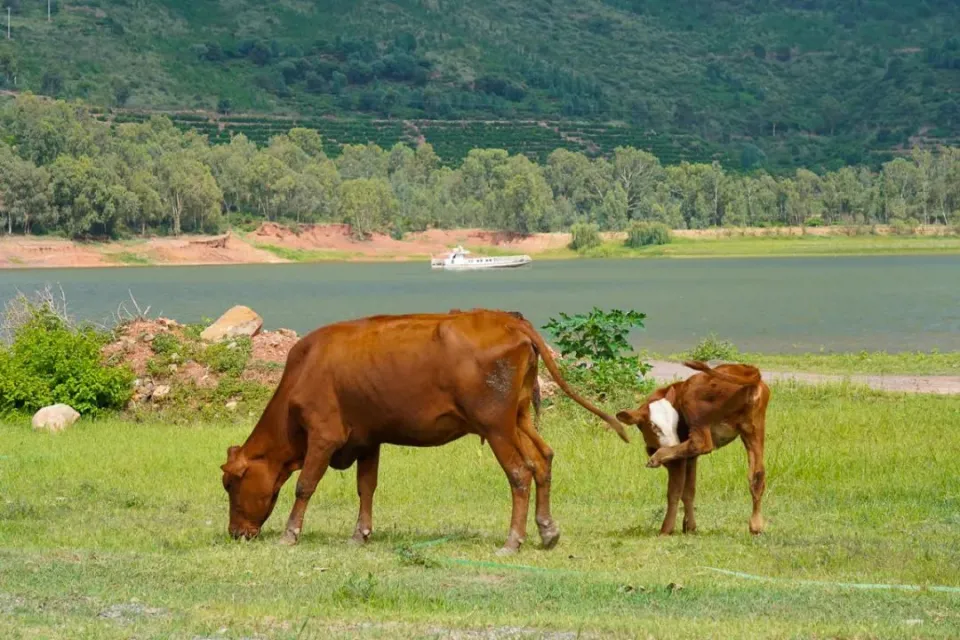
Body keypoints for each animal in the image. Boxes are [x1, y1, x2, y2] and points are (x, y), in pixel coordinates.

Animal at [219, 308, 632, 552]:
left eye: (231, 483)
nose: (236, 533)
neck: (303, 371)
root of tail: (505, 317)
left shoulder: (324, 434)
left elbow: (305, 485)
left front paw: (290, 534)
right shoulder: (368, 438)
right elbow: (366, 487)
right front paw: (360, 534)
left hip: (495, 425)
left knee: (520, 473)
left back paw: (512, 541)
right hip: (518, 419)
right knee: (543, 460)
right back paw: (547, 531)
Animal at [616, 360, 772, 536]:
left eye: (676, 423)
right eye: (653, 426)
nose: (673, 443)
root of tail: (746, 369)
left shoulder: (678, 460)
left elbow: (675, 491)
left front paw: (666, 529)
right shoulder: (690, 458)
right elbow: (689, 491)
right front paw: (689, 526)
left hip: (693, 403)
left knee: (701, 443)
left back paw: (657, 457)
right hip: (754, 429)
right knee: (757, 475)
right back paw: (756, 525)